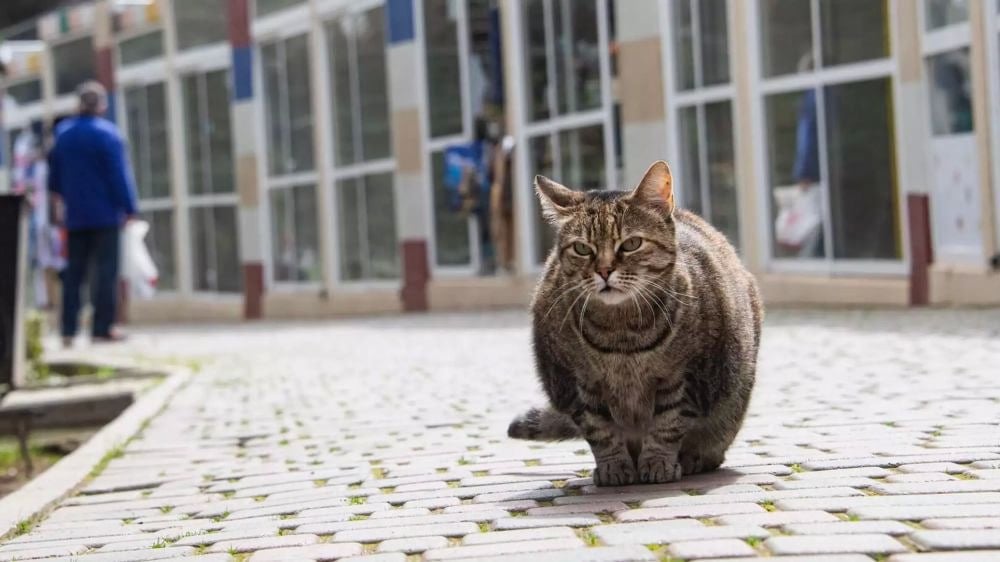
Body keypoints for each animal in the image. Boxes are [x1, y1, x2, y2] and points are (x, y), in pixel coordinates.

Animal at [512, 160, 760, 484]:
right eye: (582, 249)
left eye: (631, 244)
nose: (604, 271)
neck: (623, 336)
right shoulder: (577, 383)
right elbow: (600, 430)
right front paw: (614, 467)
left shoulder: (687, 376)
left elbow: (668, 423)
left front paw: (658, 463)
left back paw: (695, 458)